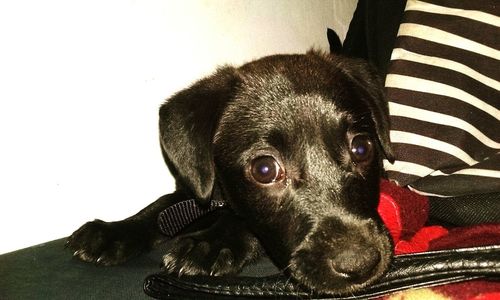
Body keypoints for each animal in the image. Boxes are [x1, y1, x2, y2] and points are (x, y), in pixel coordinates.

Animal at [67, 50, 394, 294]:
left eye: (361, 148)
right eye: (264, 169)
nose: (359, 264)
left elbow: (242, 221)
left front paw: (210, 243)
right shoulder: (195, 187)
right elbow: (161, 205)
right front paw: (113, 231)